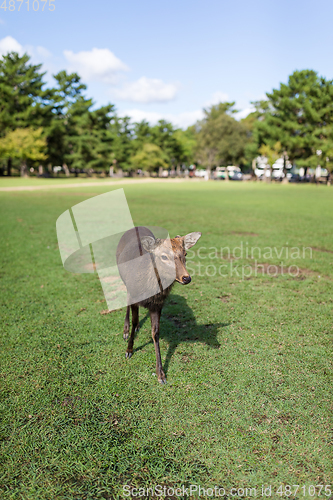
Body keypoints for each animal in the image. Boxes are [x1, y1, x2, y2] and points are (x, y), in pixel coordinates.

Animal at [115, 228, 201, 386]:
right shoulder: (134, 294)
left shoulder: (158, 304)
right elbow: (135, 320)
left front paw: (161, 374)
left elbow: (155, 332)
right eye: (164, 256)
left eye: (185, 254)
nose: (186, 278)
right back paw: (126, 330)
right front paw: (129, 350)